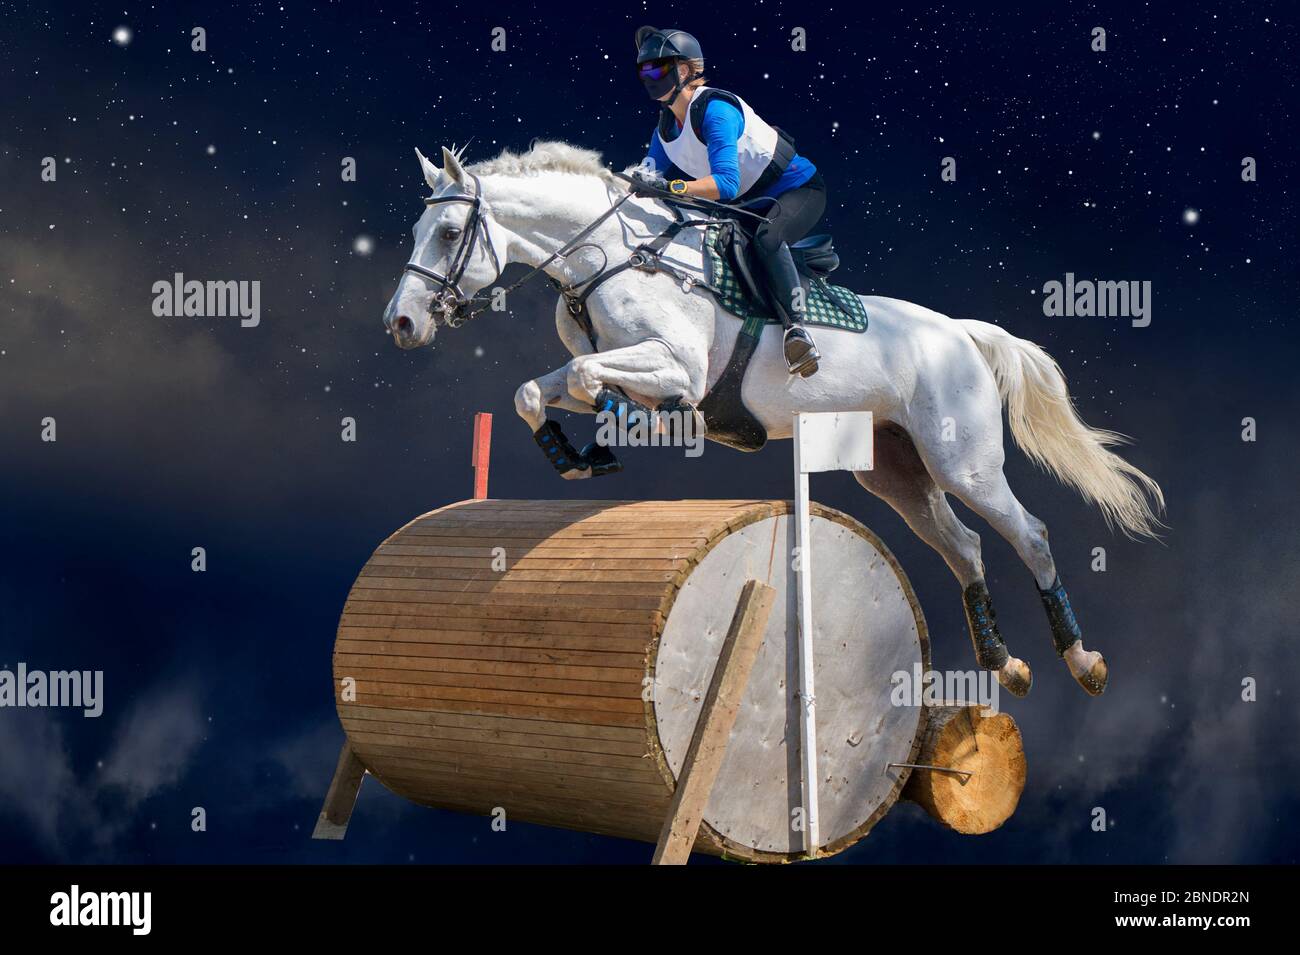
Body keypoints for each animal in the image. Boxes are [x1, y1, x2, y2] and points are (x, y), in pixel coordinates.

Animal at [379, 141, 1164, 696]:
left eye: (447, 232)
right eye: (418, 227)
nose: (403, 323)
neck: (609, 258)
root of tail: (961, 333)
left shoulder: (677, 366)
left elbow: (585, 377)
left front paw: (628, 422)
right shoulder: (607, 362)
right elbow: (535, 390)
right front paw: (578, 454)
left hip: (961, 460)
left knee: (1028, 533)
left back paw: (1082, 659)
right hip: (896, 471)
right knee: (964, 546)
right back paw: (1005, 665)